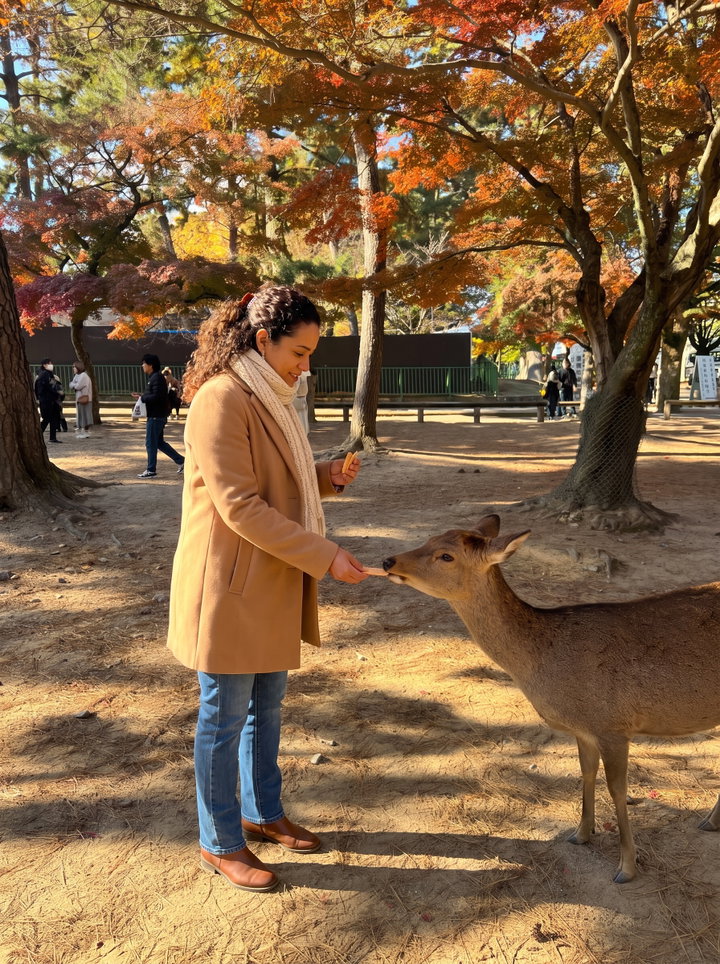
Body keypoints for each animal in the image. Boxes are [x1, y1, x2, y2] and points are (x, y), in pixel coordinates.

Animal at [382, 515, 720, 883]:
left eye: (446, 555)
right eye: (430, 538)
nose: (388, 561)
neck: (547, 666)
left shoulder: (613, 724)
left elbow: (618, 790)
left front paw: (626, 867)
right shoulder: (584, 729)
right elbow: (586, 772)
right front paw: (580, 834)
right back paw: (710, 821)